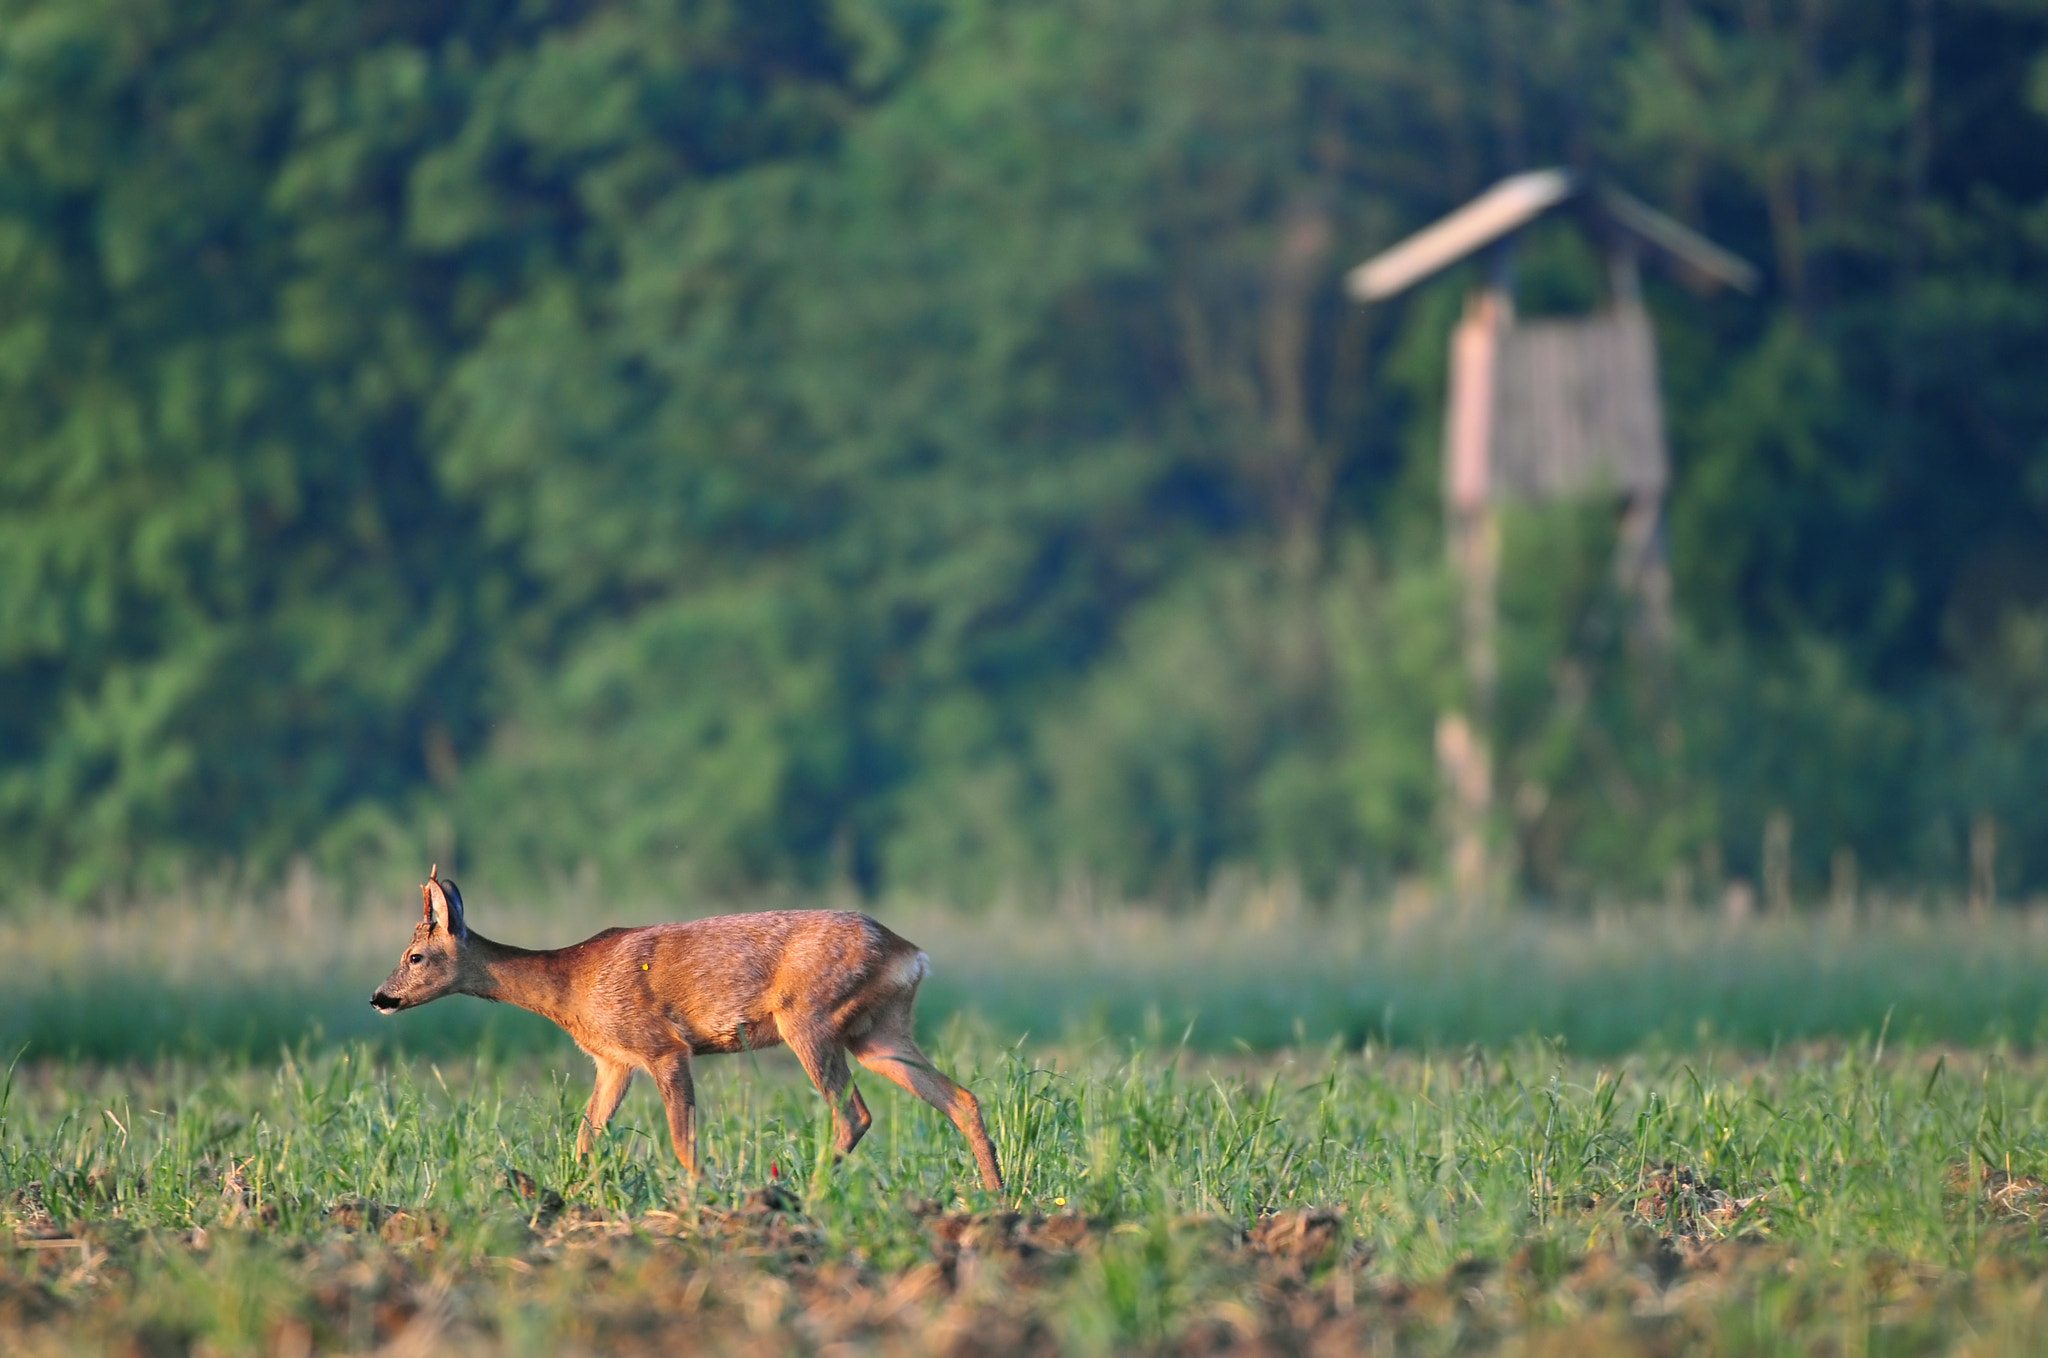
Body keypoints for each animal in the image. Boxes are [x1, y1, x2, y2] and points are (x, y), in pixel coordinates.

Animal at [376, 872, 1007, 1187]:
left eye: (413, 955)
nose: (380, 997)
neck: (571, 987)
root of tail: (912, 954)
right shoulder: (614, 1061)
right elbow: (585, 1136)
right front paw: (570, 1196)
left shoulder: (663, 1045)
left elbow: (683, 1141)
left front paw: (702, 1197)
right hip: (879, 1033)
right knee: (962, 1098)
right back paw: (996, 1197)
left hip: (808, 1018)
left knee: (854, 1112)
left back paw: (804, 1191)